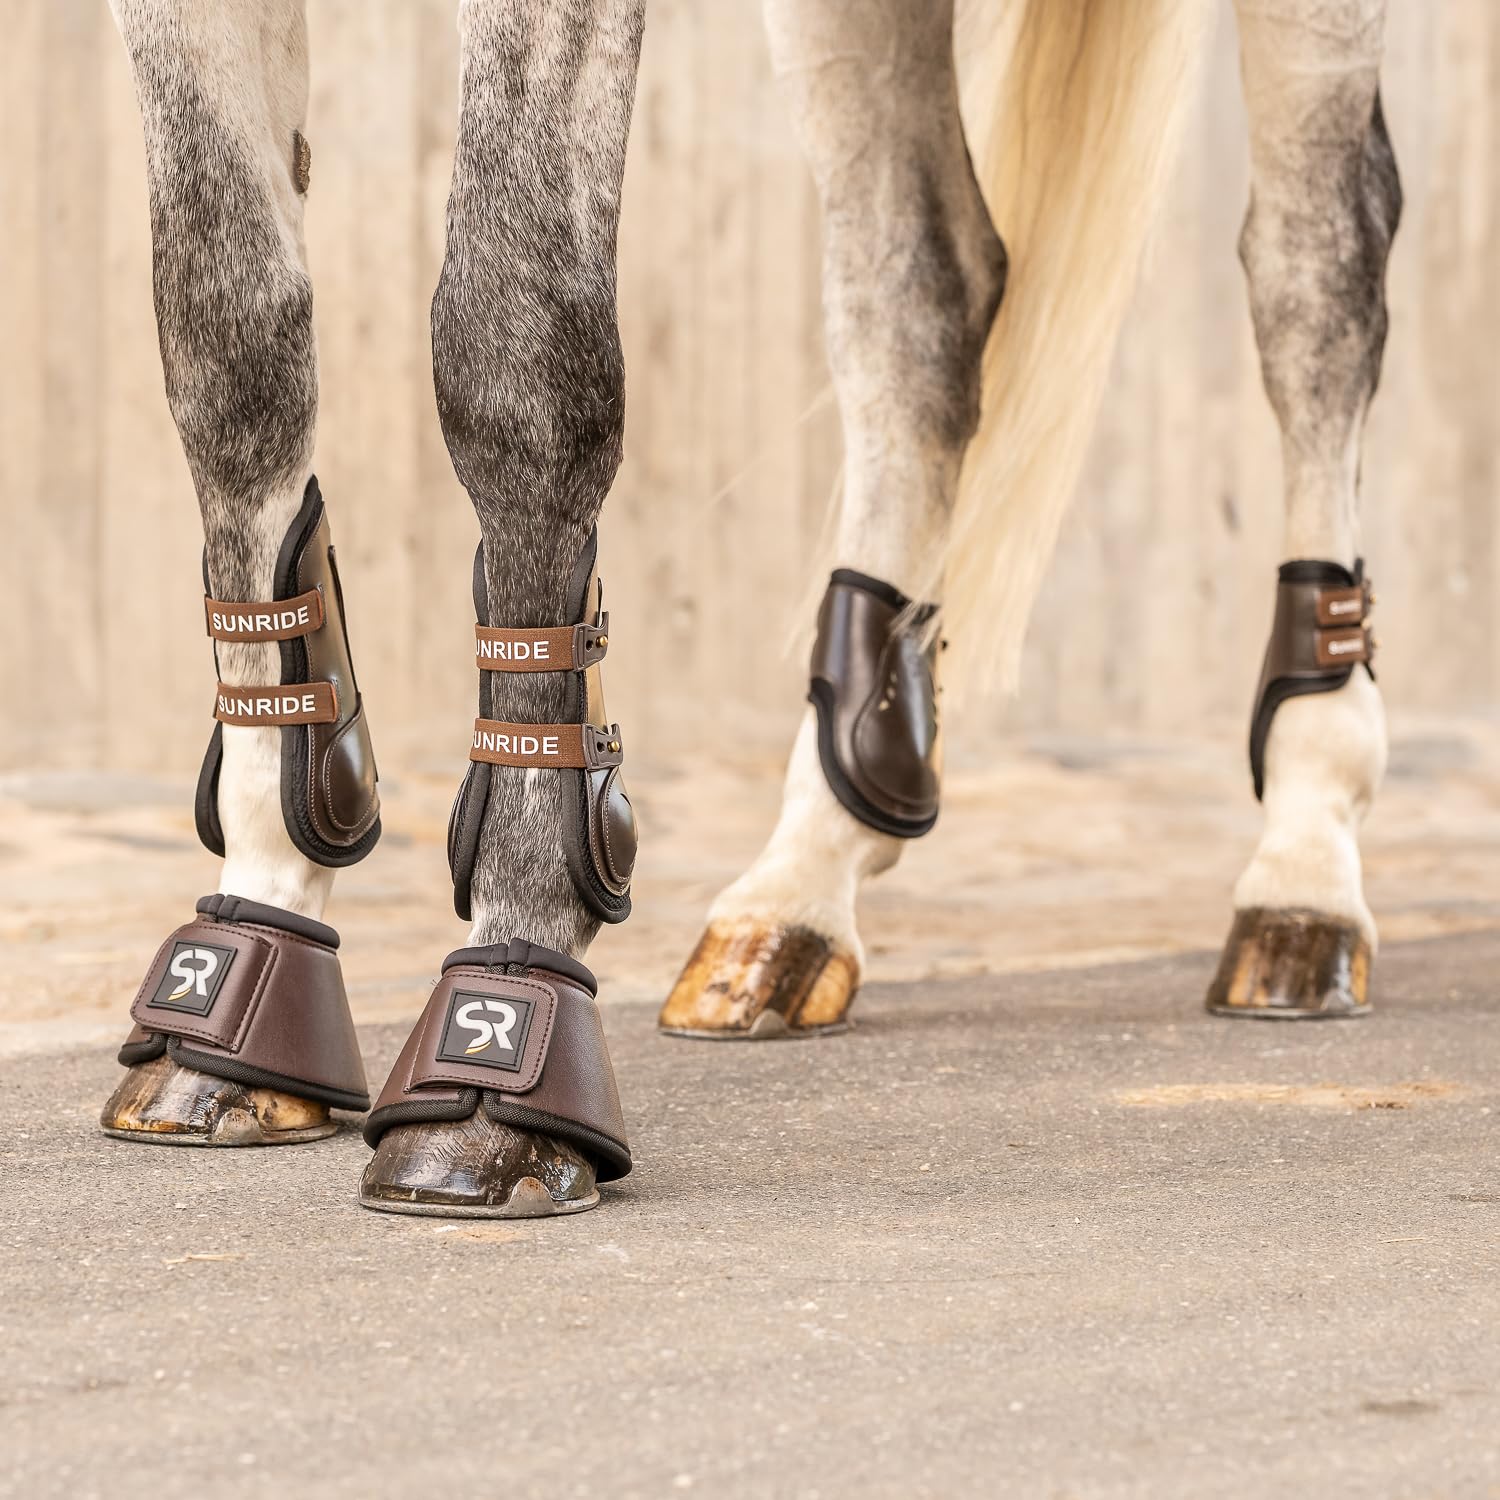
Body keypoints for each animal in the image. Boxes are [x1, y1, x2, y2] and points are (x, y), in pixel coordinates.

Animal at [98, 0, 1399, 1217]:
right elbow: (225, 339)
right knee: (925, 288)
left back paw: (1303, 875)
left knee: (1321, 258)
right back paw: (796, 899)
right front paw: (248, 952)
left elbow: (515, 347)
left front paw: (504, 1014)